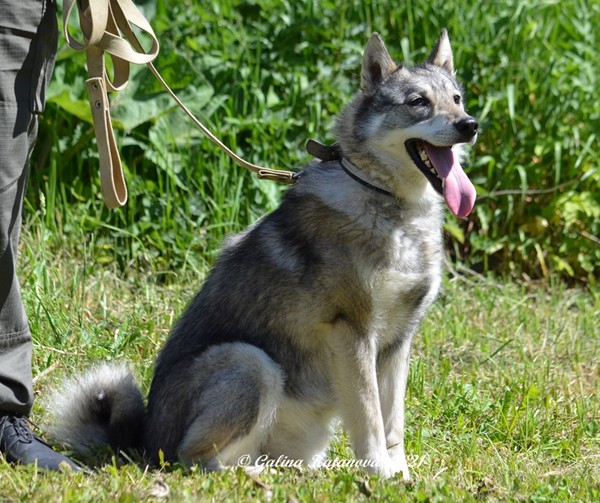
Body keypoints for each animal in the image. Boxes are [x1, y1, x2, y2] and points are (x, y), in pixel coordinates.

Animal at [47, 29, 478, 480]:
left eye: (457, 98)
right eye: (418, 102)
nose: (470, 125)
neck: (391, 206)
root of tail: (142, 442)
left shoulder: (398, 342)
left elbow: (393, 424)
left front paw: (401, 477)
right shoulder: (353, 332)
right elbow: (370, 419)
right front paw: (378, 474)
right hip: (250, 362)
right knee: (196, 460)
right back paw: (256, 477)